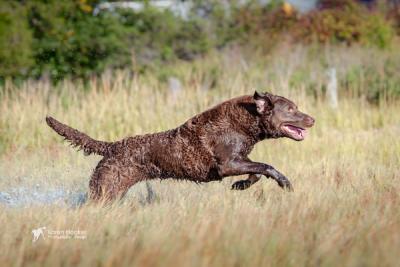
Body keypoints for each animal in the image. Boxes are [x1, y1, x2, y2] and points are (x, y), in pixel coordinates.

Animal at [46, 91, 316, 202]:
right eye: (291, 109)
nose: (313, 119)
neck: (244, 122)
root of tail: (113, 146)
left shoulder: (240, 160)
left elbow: (257, 172)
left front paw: (241, 185)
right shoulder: (228, 164)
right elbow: (266, 166)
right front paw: (284, 182)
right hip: (106, 189)